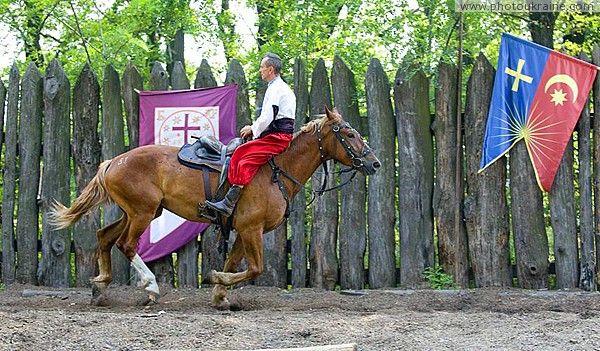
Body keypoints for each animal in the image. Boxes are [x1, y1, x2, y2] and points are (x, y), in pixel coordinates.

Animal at [51, 107, 380, 308]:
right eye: (349, 134)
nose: (374, 163)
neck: (274, 169)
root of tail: (113, 162)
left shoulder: (243, 230)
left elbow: (234, 264)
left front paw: (221, 296)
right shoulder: (251, 229)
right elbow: (255, 268)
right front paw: (215, 280)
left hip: (138, 211)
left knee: (105, 237)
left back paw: (100, 287)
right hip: (141, 213)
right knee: (126, 244)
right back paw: (151, 287)